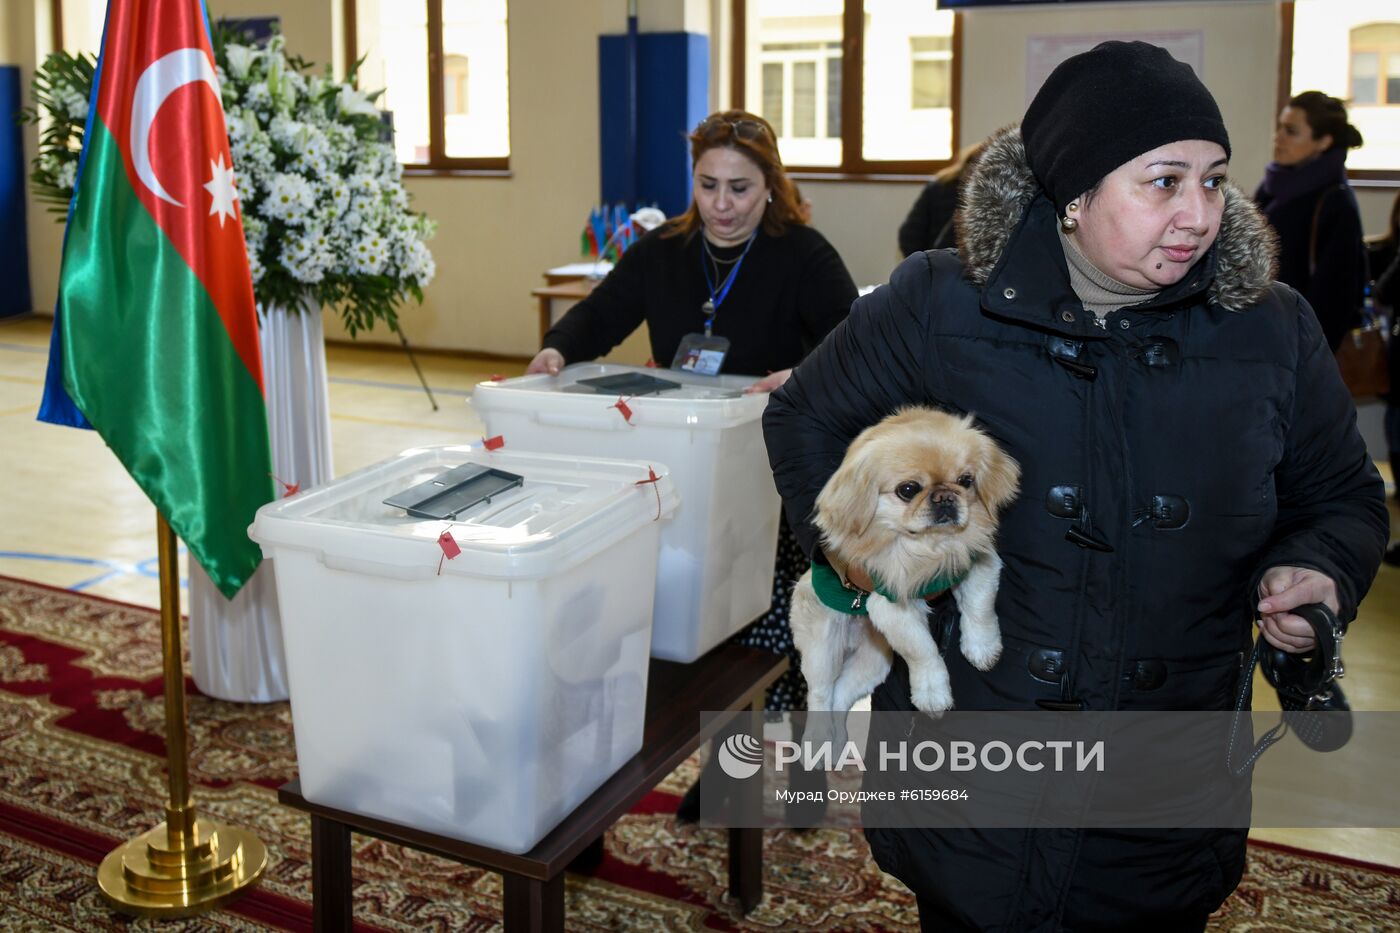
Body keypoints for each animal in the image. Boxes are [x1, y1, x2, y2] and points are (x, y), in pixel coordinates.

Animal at [800, 406, 1019, 739]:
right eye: (908, 490)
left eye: (966, 480)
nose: (945, 496)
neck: (930, 546)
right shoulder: (889, 605)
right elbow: (922, 649)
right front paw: (932, 694)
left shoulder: (980, 563)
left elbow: (979, 609)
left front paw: (982, 649)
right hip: (823, 651)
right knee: (820, 695)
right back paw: (819, 737)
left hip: (872, 662)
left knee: (840, 698)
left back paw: (836, 744)